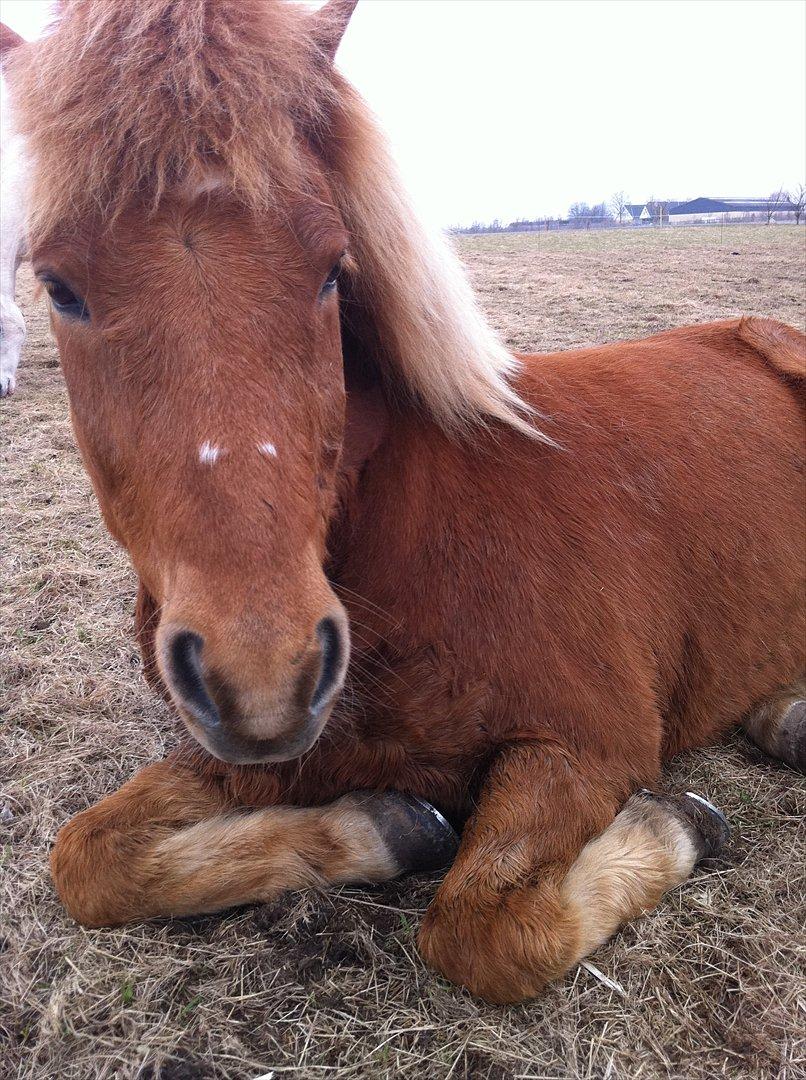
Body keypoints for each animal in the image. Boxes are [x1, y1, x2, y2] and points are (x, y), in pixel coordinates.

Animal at [6, 0, 804, 1004]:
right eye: (59, 286)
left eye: (330, 268)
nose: (261, 674)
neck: (411, 535)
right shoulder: (274, 759)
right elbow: (88, 858)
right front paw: (385, 827)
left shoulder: (589, 745)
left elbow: (487, 930)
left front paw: (680, 824)